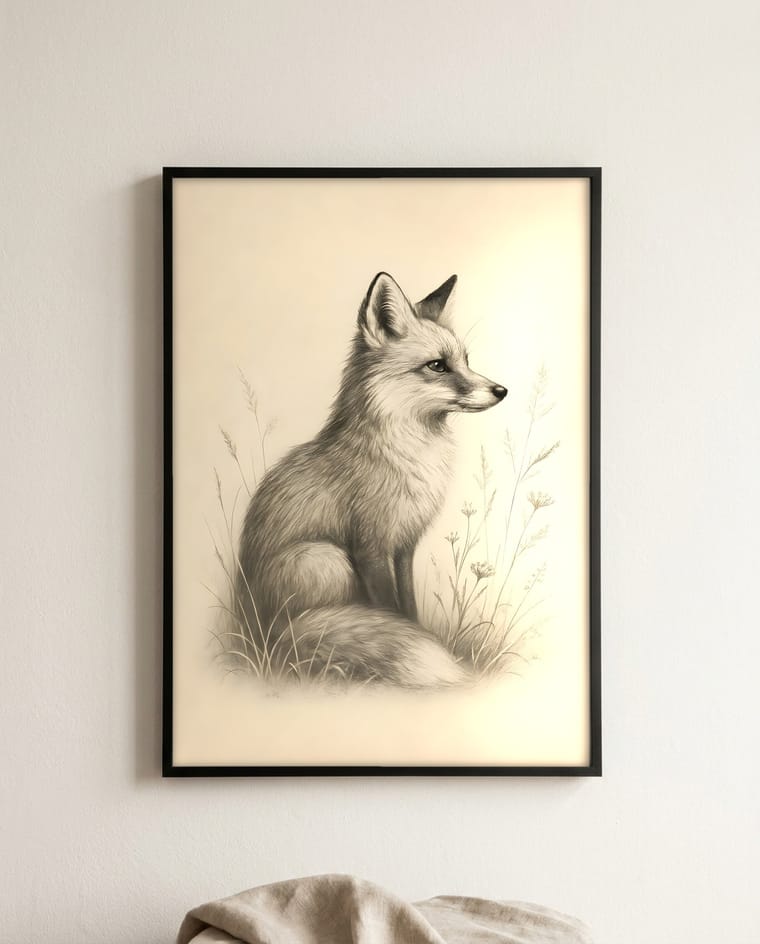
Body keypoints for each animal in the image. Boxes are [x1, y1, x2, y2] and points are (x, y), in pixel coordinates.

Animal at [236, 272, 507, 688]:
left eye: (466, 361)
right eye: (437, 365)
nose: (501, 391)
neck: (408, 457)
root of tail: (255, 630)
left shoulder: (405, 545)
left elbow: (408, 607)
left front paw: (420, 634)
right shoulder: (370, 545)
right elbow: (389, 608)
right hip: (326, 558)